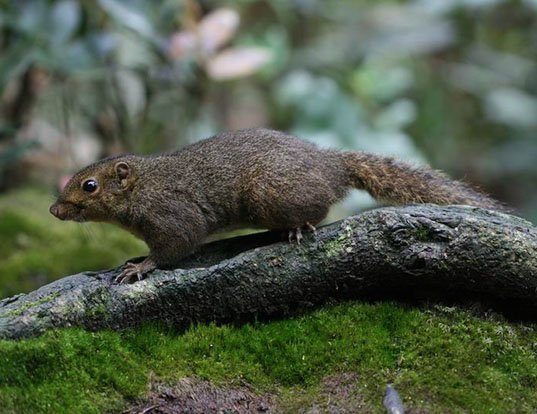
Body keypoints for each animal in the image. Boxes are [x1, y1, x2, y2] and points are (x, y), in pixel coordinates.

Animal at [49, 128, 502, 284]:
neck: (142, 187)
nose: (55, 210)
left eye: (89, 186)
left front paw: (142, 267)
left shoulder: (172, 214)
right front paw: (134, 258)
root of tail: (331, 166)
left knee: (317, 211)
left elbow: (176, 247)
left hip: (269, 193)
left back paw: (298, 228)